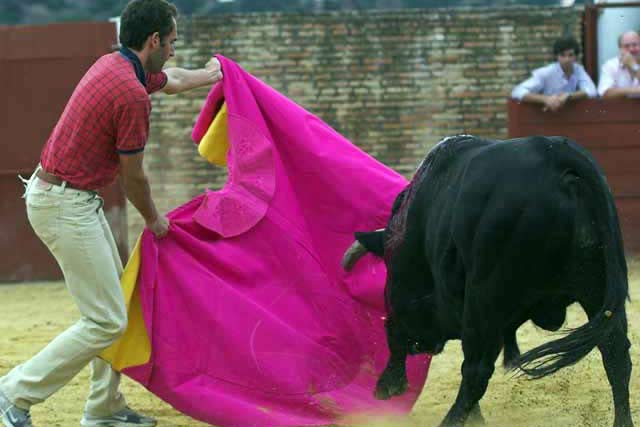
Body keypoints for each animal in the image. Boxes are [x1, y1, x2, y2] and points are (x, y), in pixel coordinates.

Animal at [342, 136, 632, 427]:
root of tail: (557, 154)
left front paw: (387, 384)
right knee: (616, 353)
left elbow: (394, 327)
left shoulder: (410, 289)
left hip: (484, 298)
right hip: (598, 287)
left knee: (476, 370)